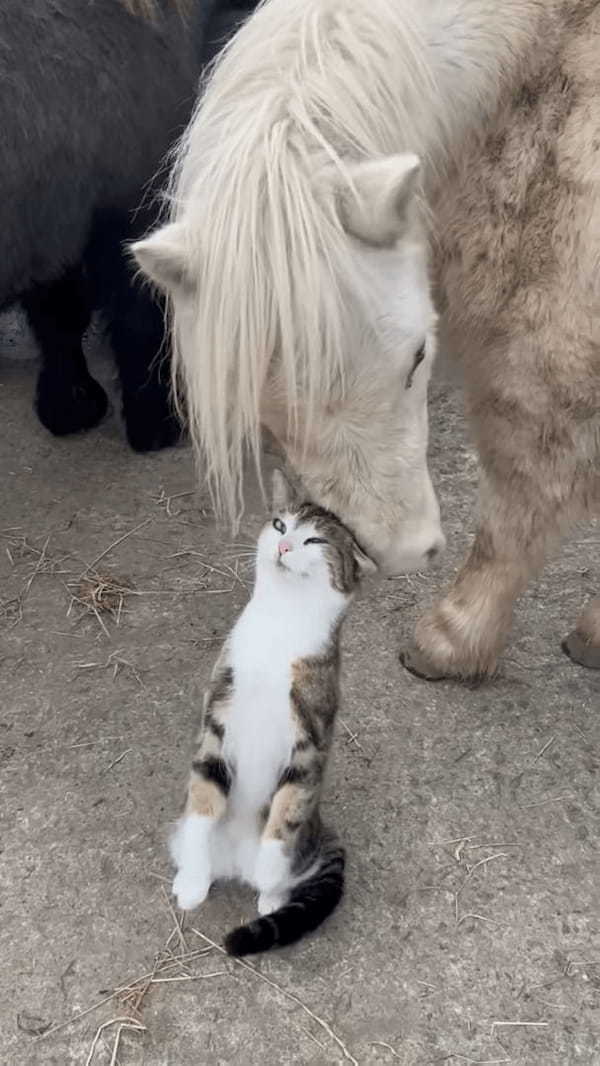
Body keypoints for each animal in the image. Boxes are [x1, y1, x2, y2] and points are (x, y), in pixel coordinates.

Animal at [0, 0, 253, 449]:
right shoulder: (125, 205)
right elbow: (135, 315)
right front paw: (153, 419)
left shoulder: (61, 217)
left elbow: (58, 315)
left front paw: (68, 405)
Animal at [136, 2, 600, 673]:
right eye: (271, 409)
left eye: (418, 357)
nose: (404, 555)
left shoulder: (549, 341)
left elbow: (523, 492)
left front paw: (454, 636)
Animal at [171, 471, 373, 955]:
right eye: (281, 525)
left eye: (315, 539)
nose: (283, 546)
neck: (280, 623)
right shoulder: (218, 715)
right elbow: (202, 796)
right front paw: (193, 873)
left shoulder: (310, 740)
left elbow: (287, 809)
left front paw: (270, 870)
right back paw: (193, 877)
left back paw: (269, 892)